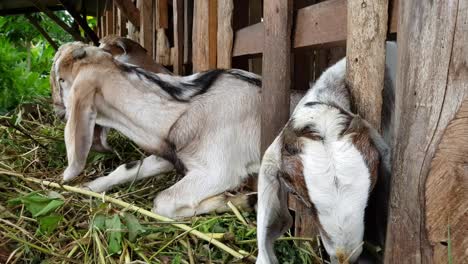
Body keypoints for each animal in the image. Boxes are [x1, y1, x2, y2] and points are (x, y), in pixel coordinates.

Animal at [53, 42, 264, 218]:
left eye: (60, 79)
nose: (56, 111)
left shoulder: (219, 170)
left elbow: (162, 201)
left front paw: (237, 200)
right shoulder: (173, 156)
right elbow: (126, 169)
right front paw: (88, 186)